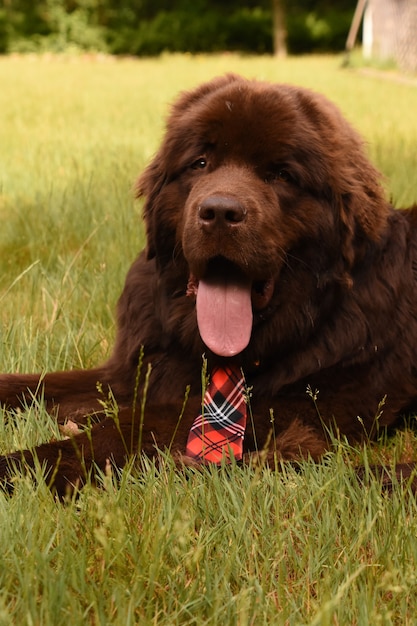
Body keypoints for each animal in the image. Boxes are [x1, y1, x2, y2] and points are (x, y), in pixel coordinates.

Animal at [0, 72, 416, 492]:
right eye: (199, 163)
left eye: (282, 175)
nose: (219, 212)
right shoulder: (133, 371)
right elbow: (34, 385)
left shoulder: (308, 402)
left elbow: (130, 425)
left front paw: (22, 466)